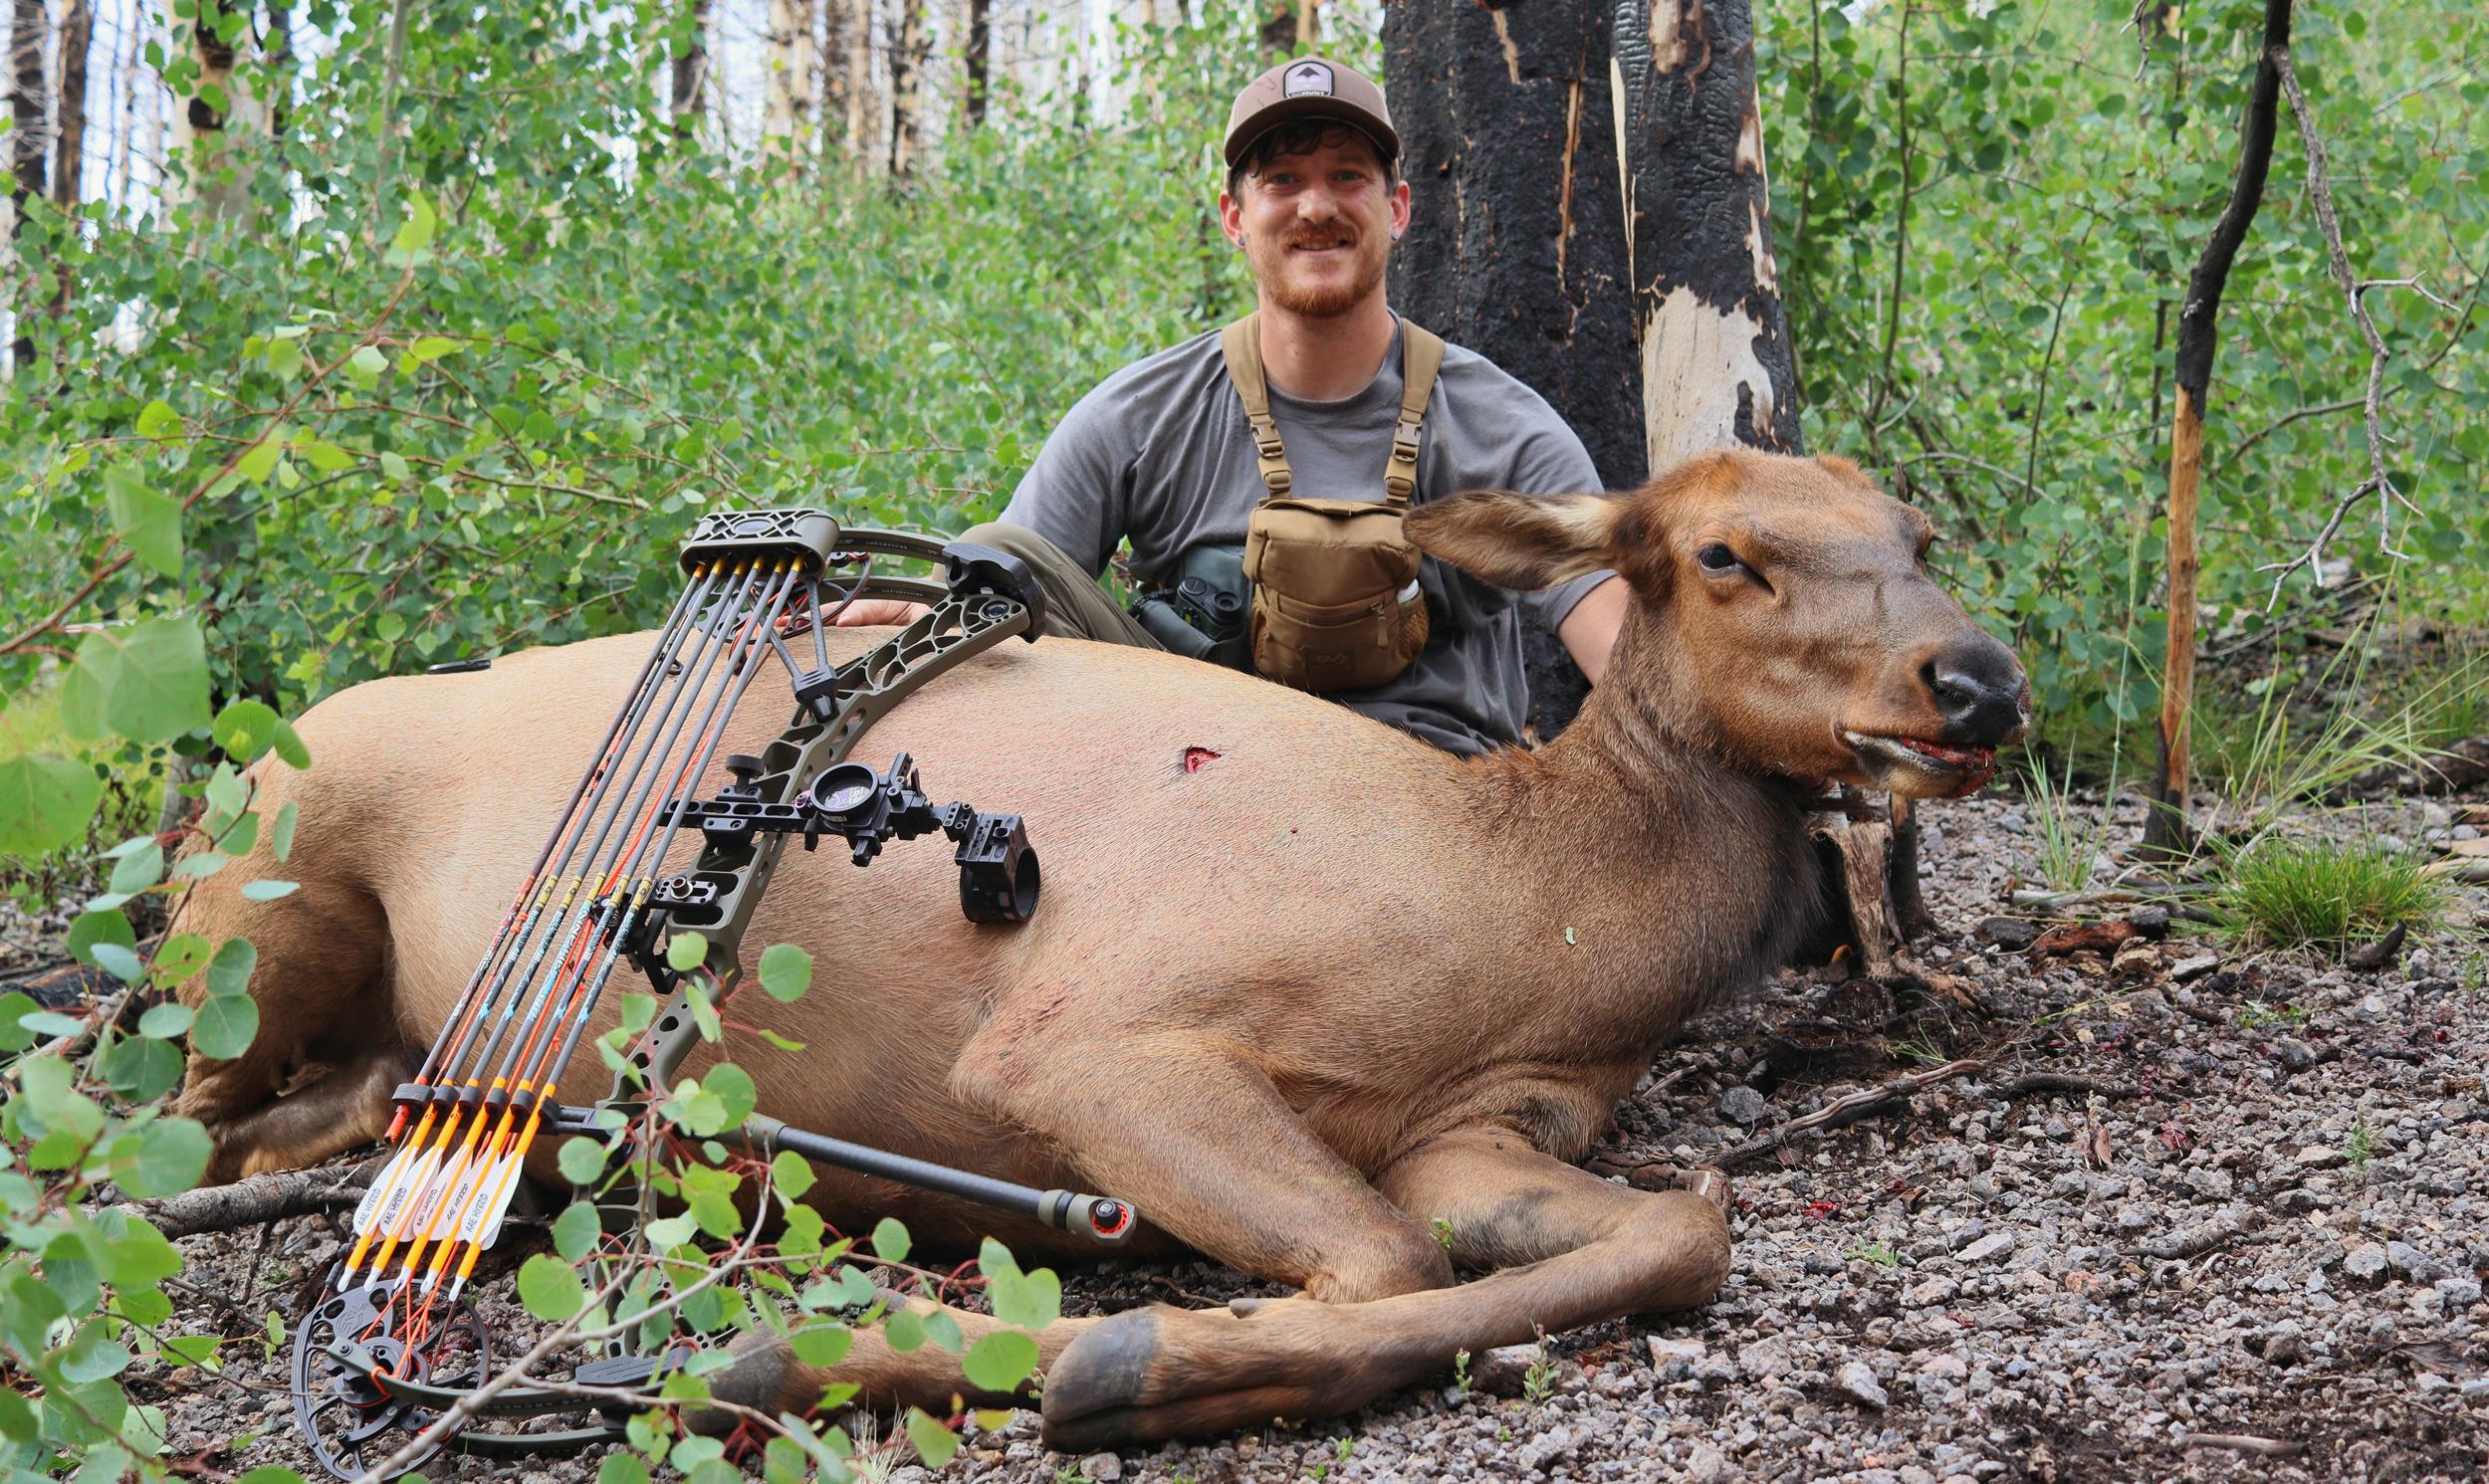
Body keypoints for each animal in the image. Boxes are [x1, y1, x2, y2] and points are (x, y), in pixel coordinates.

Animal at [171, 448, 2026, 1450]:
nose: (1977, 680)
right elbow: (1386, 1263)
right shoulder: (1088, 1037)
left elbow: (1678, 1231)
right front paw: (1019, 1355)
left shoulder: (1473, 1124)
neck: (1535, 912)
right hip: (248, 916)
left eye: (1918, 534)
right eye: (1724, 552)